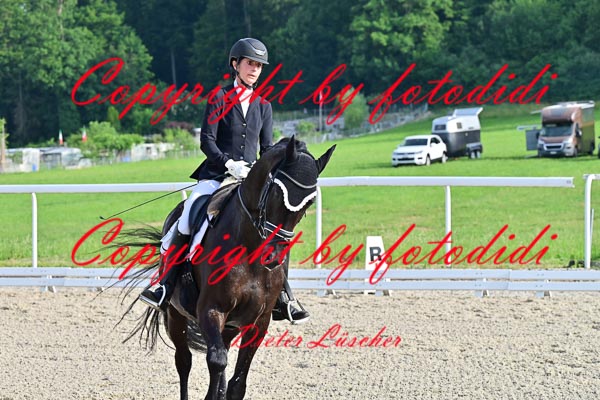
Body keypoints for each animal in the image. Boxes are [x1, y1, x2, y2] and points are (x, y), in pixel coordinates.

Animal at [125, 137, 335, 400]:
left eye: (310, 202)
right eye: (277, 192)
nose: (273, 257)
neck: (249, 248)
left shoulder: (258, 321)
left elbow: (237, 382)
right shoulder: (211, 309)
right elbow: (216, 361)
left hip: (231, 324)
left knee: (219, 353)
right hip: (176, 314)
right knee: (184, 361)